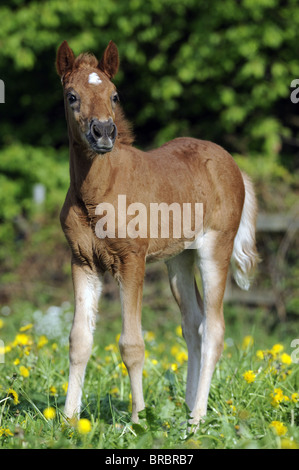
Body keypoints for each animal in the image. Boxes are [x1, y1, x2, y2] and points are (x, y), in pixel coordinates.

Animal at [56, 40, 260, 426]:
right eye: (72, 96)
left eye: (115, 95)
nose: (103, 133)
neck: (96, 192)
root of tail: (234, 165)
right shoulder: (82, 262)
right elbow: (79, 340)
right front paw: (69, 421)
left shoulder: (131, 262)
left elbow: (132, 344)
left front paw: (137, 420)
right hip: (179, 260)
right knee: (193, 325)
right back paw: (186, 408)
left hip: (215, 250)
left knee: (214, 329)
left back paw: (197, 418)